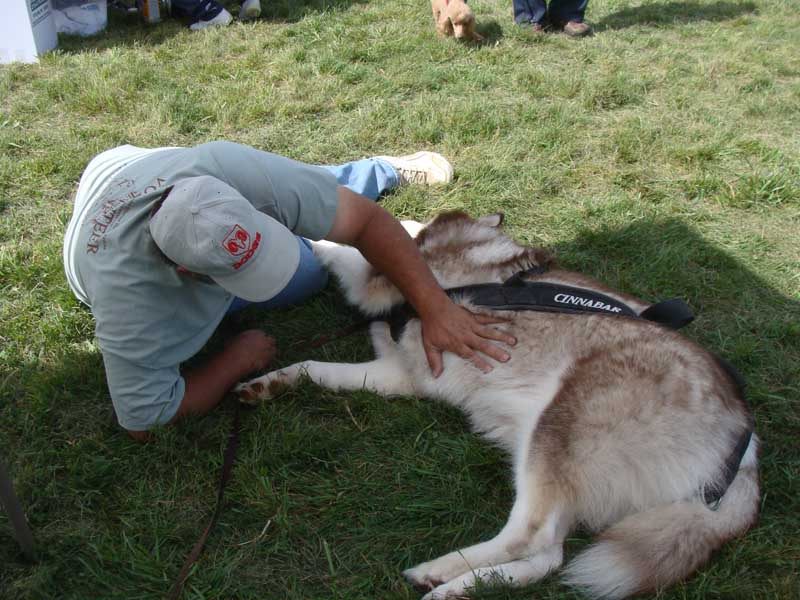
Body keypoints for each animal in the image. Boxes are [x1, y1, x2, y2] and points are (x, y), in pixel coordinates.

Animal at [234, 211, 760, 600]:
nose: (407, 222)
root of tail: (744, 447)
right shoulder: (400, 373)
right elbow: (313, 366)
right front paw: (269, 382)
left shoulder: (378, 284)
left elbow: (338, 249)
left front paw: (291, 229)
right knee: (549, 556)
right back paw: (456, 586)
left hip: (558, 427)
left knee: (531, 536)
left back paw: (441, 569)